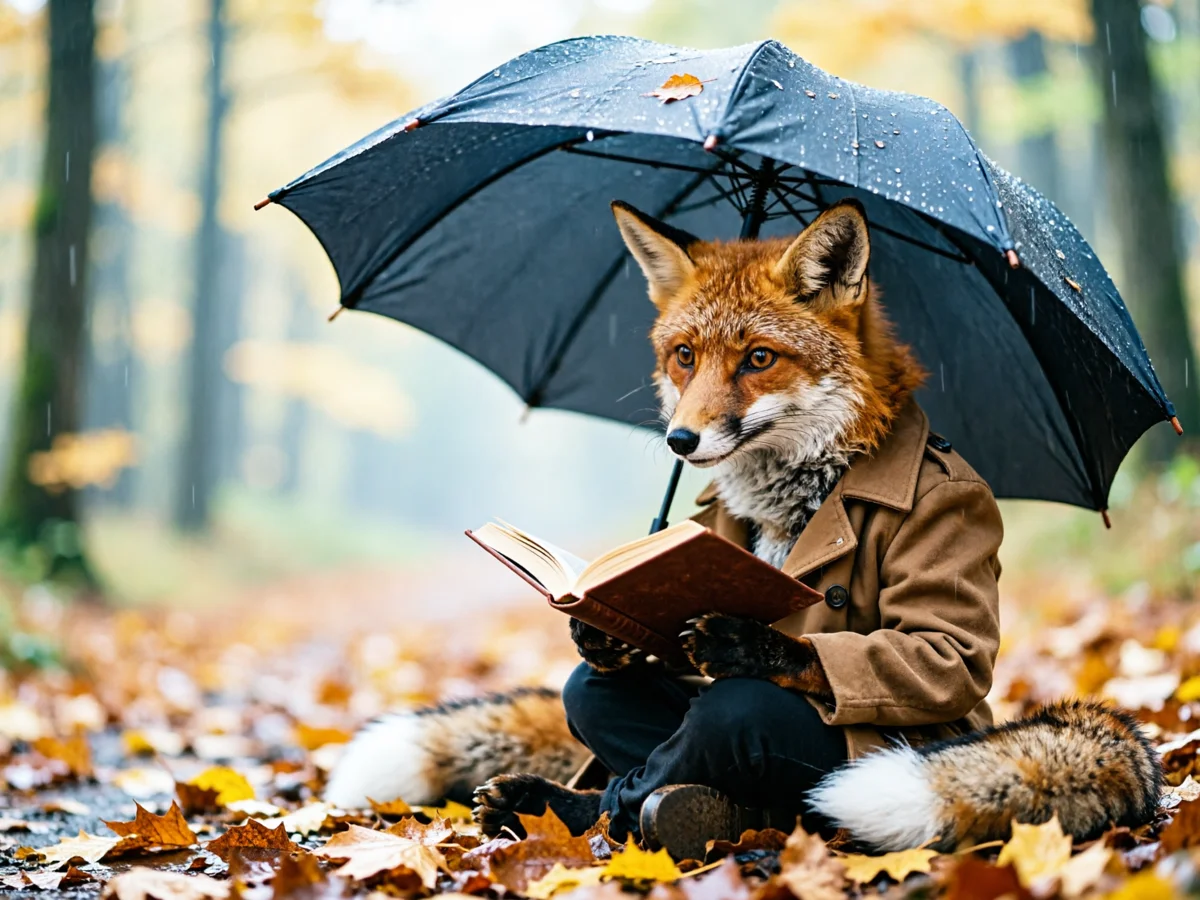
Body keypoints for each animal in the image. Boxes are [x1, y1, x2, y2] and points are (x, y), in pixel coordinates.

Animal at [324, 198, 1162, 853]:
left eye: (759, 358)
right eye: (684, 356)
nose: (679, 441)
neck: (799, 491)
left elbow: (929, 649)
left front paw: (753, 644)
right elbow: (613, 664)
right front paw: (598, 629)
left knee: (735, 730)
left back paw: (670, 816)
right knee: (597, 699)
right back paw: (559, 806)